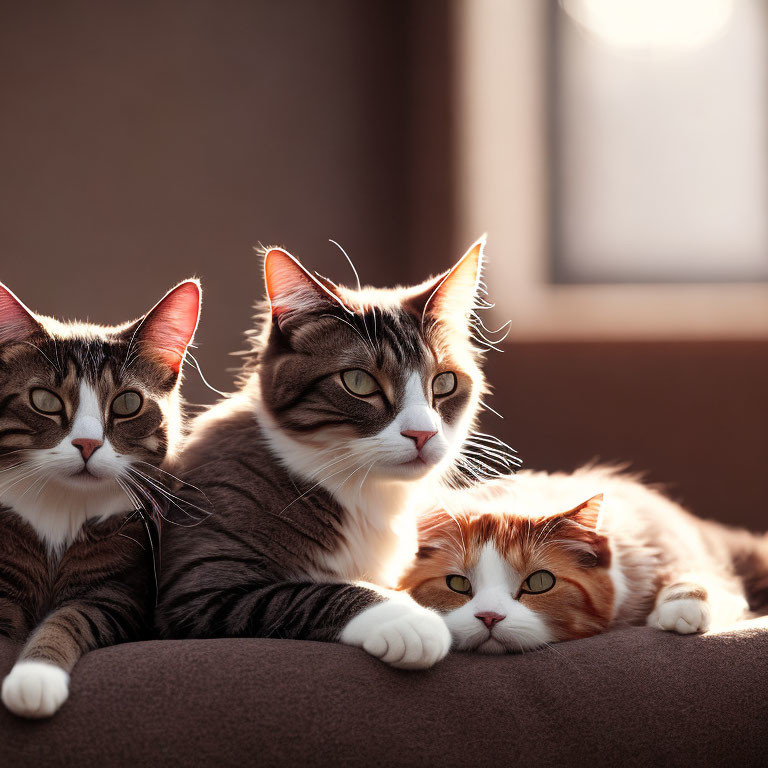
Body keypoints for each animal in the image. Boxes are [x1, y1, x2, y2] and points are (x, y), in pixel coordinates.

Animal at [0, 280, 201, 716]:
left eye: (128, 403)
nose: (88, 444)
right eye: (44, 400)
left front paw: (34, 678)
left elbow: (68, 620)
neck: (63, 506)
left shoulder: (116, 592)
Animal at [154, 237, 520, 668]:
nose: (422, 433)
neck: (362, 493)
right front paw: (408, 620)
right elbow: (310, 592)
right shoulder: (197, 585)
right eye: (358, 382)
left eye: (445, 382)